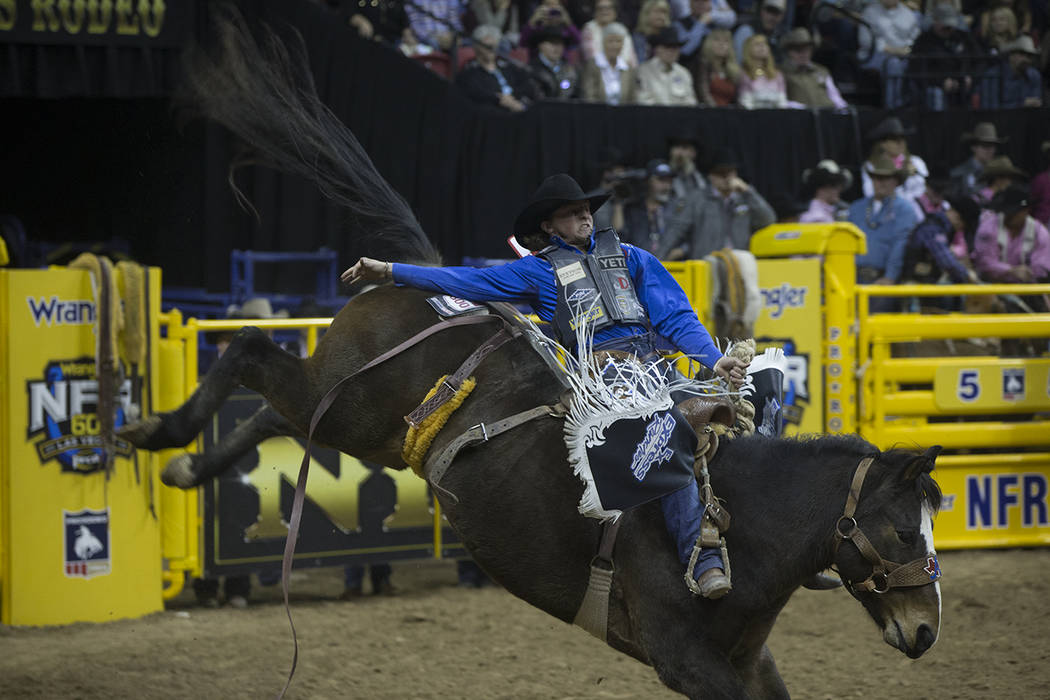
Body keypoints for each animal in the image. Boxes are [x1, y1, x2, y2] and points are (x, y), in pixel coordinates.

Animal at [120, 12, 944, 700]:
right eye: (906, 531)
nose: (927, 630)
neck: (748, 524)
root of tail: (437, 280)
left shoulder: (750, 665)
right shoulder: (690, 663)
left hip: (361, 423)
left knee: (277, 415)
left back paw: (186, 466)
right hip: (352, 401)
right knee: (250, 350)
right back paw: (155, 432)